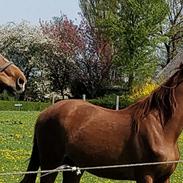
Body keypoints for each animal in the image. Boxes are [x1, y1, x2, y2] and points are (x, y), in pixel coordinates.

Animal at [20, 65, 183, 182]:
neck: (160, 128)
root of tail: (44, 113)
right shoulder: (145, 175)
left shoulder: (164, 178)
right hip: (50, 165)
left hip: (73, 168)